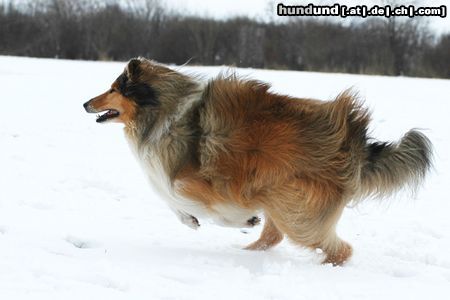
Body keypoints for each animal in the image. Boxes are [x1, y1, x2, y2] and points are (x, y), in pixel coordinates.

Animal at [82, 58, 430, 264]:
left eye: (114, 88)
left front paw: (230, 219)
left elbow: (177, 192)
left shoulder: (202, 179)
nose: (85, 104)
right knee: (274, 236)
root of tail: (354, 144)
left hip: (294, 207)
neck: (161, 109)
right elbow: (168, 196)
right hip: (280, 196)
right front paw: (193, 219)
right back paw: (246, 254)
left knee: (340, 248)